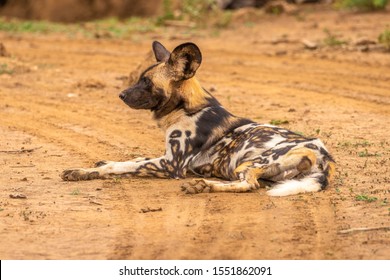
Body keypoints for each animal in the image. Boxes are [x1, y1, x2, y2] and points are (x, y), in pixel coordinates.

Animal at [61, 40, 336, 196]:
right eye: (140, 78)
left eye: (146, 82)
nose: (121, 94)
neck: (185, 110)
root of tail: (325, 157)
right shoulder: (165, 157)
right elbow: (132, 159)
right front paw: (93, 166)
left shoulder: (171, 164)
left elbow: (121, 166)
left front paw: (86, 171)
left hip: (251, 163)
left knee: (249, 185)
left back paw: (202, 186)